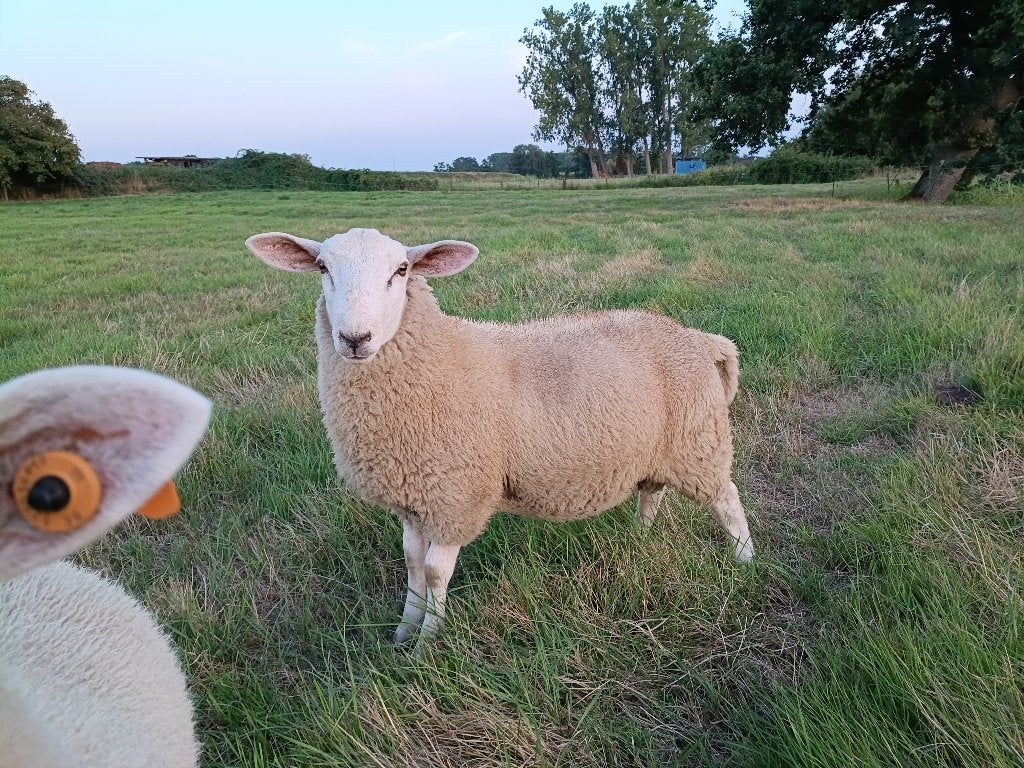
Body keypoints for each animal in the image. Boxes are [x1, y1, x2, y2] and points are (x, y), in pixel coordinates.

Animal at [246, 227, 754, 654]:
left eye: (402, 270)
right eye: (322, 268)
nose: (355, 338)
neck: (437, 361)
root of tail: (699, 339)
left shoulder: (456, 496)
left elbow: (435, 572)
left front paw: (427, 643)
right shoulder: (414, 496)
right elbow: (411, 565)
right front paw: (403, 631)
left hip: (698, 442)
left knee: (727, 499)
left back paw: (745, 562)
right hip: (657, 448)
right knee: (654, 490)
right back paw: (641, 535)